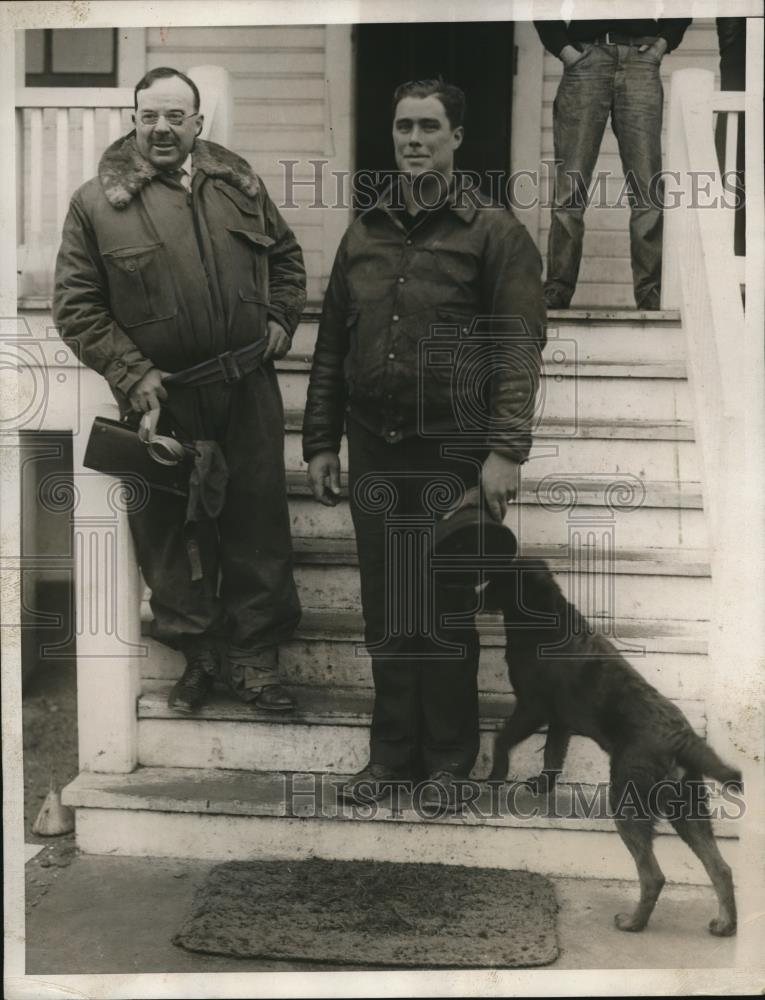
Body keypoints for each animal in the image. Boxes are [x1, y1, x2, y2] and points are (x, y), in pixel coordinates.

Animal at [484, 560, 740, 932]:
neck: (546, 616)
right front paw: (543, 785)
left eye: (499, 578)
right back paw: (724, 925)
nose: (477, 593)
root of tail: (682, 739)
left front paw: (495, 776)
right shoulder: (560, 719)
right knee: (720, 867)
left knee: (653, 875)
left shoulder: (532, 707)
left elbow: (501, 739)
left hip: (627, 800)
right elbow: (552, 754)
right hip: (687, 807)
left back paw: (632, 923)